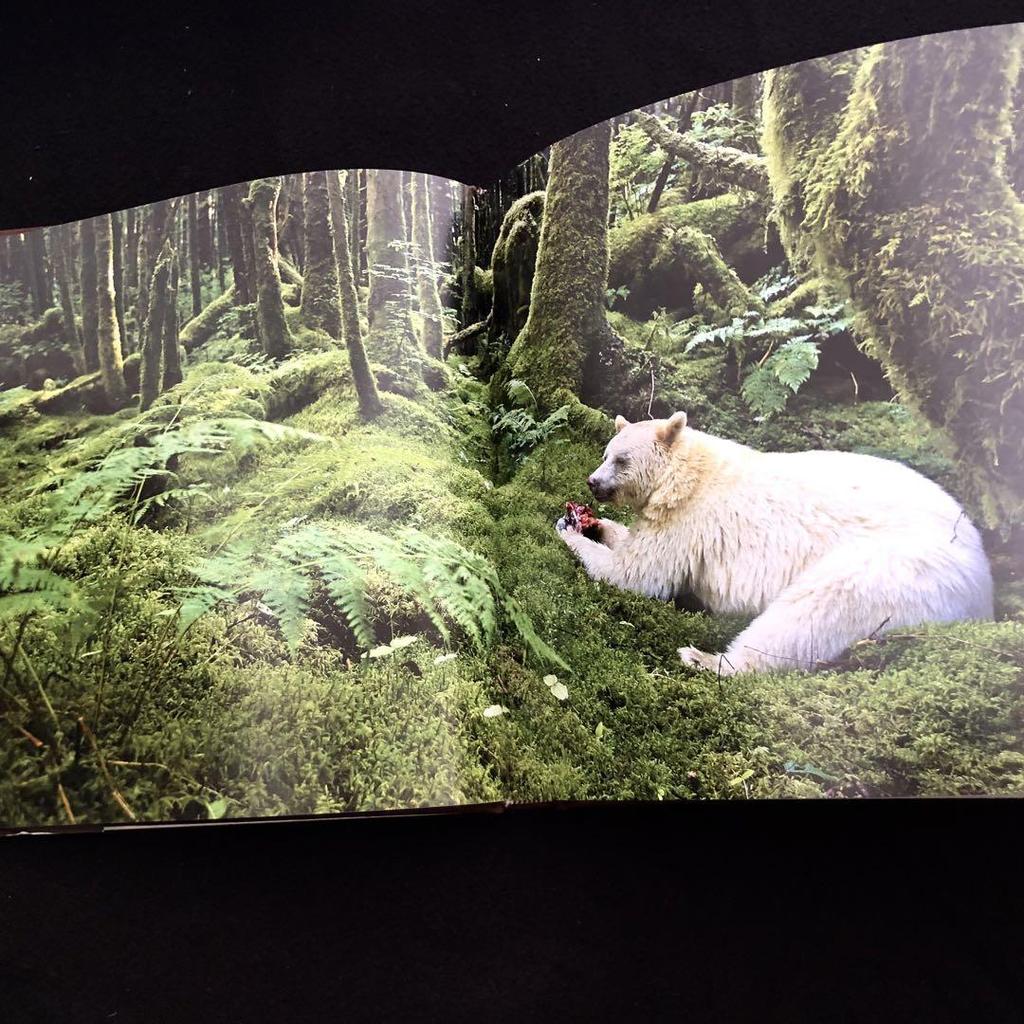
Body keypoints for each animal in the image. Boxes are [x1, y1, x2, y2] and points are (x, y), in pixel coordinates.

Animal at [556, 411, 994, 675]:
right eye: (606, 452)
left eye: (621, 460)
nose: (593, 482)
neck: (687, 473)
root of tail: (982, 578)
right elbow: (633, 542)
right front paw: (595, 524)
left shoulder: (690, 521)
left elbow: (639, 573)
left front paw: (571, 531)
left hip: (893, 568)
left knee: (808, 614)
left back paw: (704, 658)